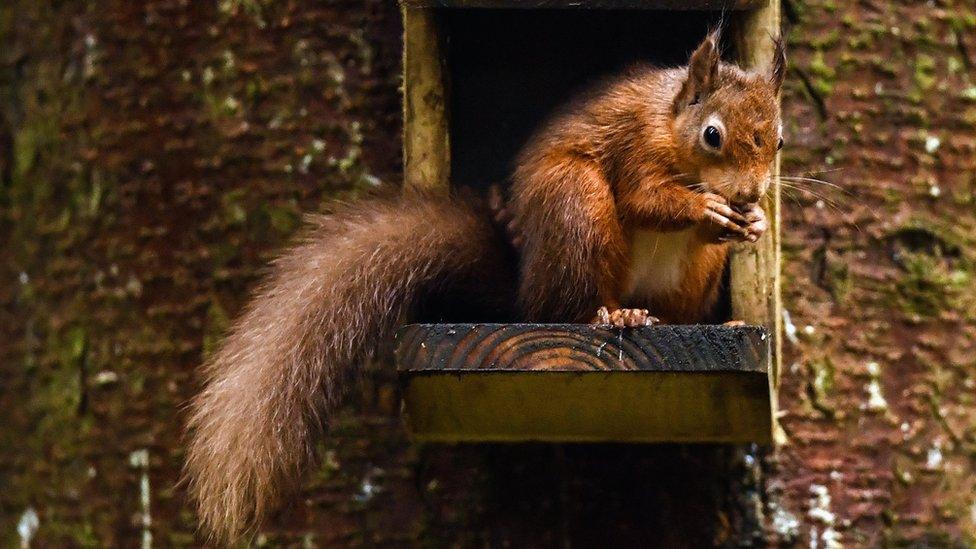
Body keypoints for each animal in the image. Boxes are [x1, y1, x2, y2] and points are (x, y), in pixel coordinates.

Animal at [185, 30, 784, 540]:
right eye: (712, 135)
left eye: (778, 141)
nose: (749, 194)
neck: (669, 123)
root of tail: (524, 292)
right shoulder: (635, 144)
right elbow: (643, 197)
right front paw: (704, 209)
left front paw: (753, 224)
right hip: (574, 203)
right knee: (567, 303)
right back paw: (615, 315)